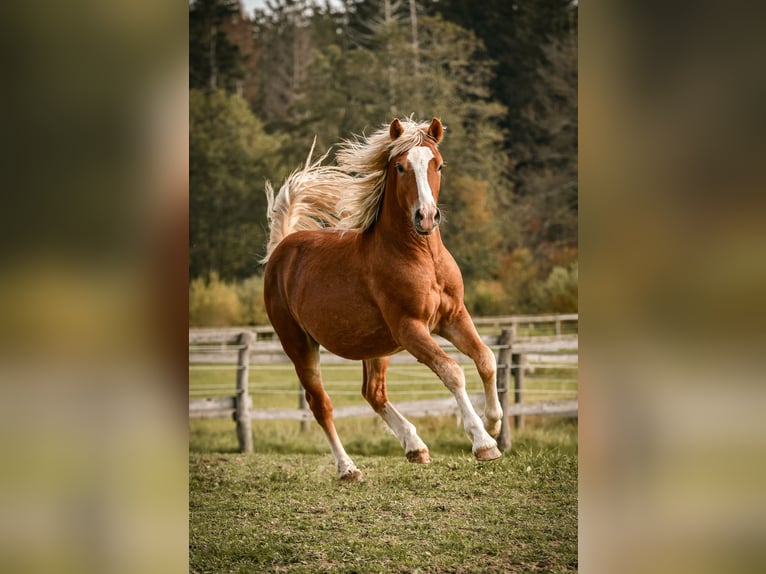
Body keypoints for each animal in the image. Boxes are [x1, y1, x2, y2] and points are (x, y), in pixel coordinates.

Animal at [262, 117, 502, 481]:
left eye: (439, 164)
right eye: (401, 167)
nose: (426, 217)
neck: (421, 257)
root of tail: (282, 248)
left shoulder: (453, 317)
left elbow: (486, 358)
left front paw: (495, 422)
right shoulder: (411, 328)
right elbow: (452, 372)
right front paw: (483, 442)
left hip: (376, 346)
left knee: (373, 393)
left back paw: (415, 447)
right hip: (299, 344)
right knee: (321, 404)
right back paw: (348, 468)